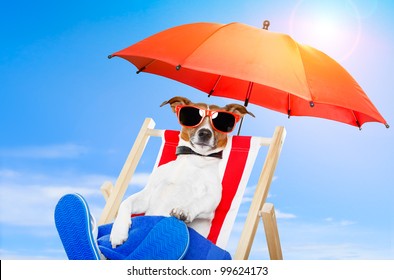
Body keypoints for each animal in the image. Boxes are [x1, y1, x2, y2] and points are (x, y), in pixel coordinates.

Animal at [109, 95, 254, 247]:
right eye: (191, 116)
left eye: (221, 121)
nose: (205, 133)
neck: (193, 160)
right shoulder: (146, 196)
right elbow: (125, 203)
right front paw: (118, 231)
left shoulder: (211, 202)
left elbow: (198, 202)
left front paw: (184, 210)